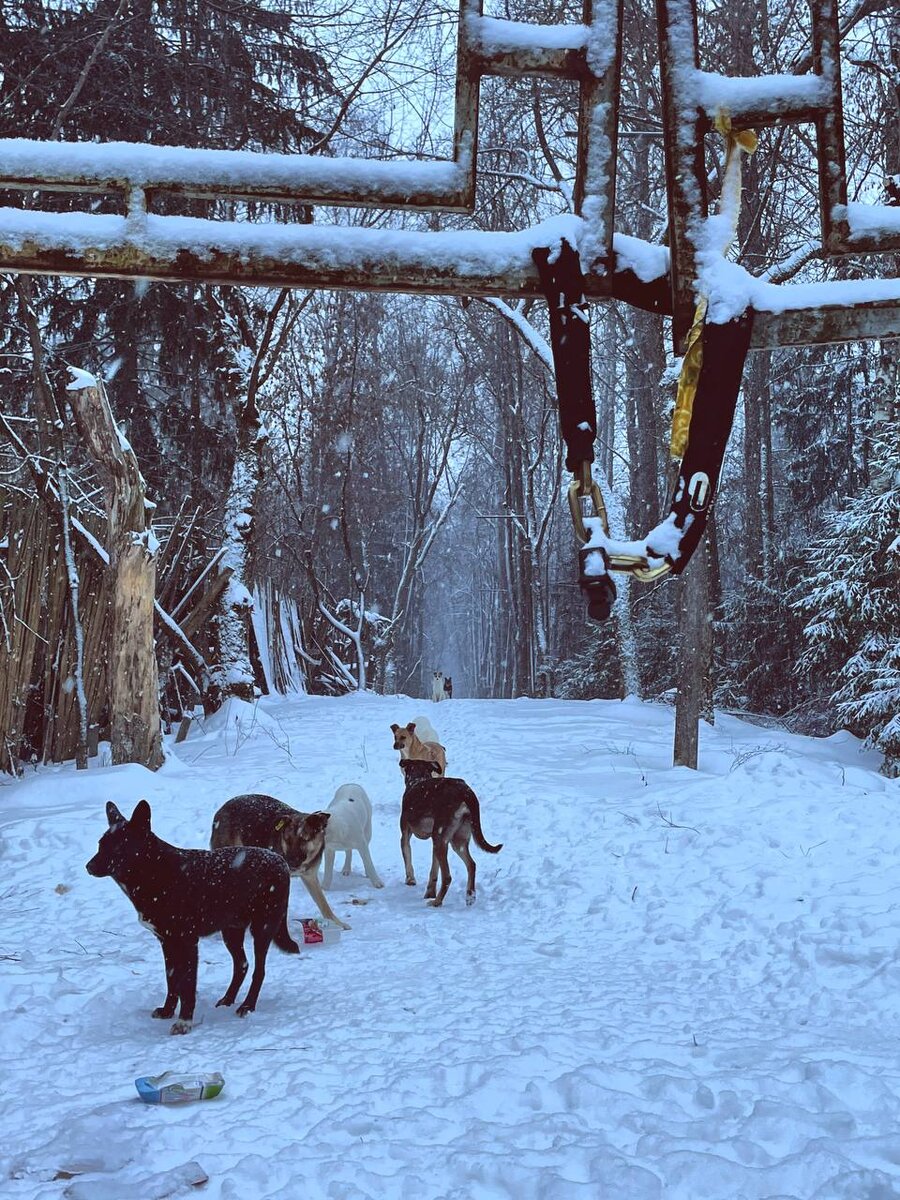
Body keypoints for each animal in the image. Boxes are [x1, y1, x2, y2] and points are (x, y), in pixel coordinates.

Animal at [85, 796, 297, 1032]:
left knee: (258, 970)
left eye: (118, 846)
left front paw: (184, 1021)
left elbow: (186, 985)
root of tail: (280, 860)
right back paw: (228, 999)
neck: (155, 872)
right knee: (241, 965)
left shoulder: (187, 942)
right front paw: (167, 1011)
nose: (89, 867)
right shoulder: (167, 942)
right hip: (231, 932)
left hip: (262, 929)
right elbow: (171, 981)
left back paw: (247, 1006)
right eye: (100, 845)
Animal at [212, 792, 352, 931]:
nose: (289, 861)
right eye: (287, 840)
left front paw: (337, 923)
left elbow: (323, 904)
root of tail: (222, 809)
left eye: (304, 839)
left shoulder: (310, 877)